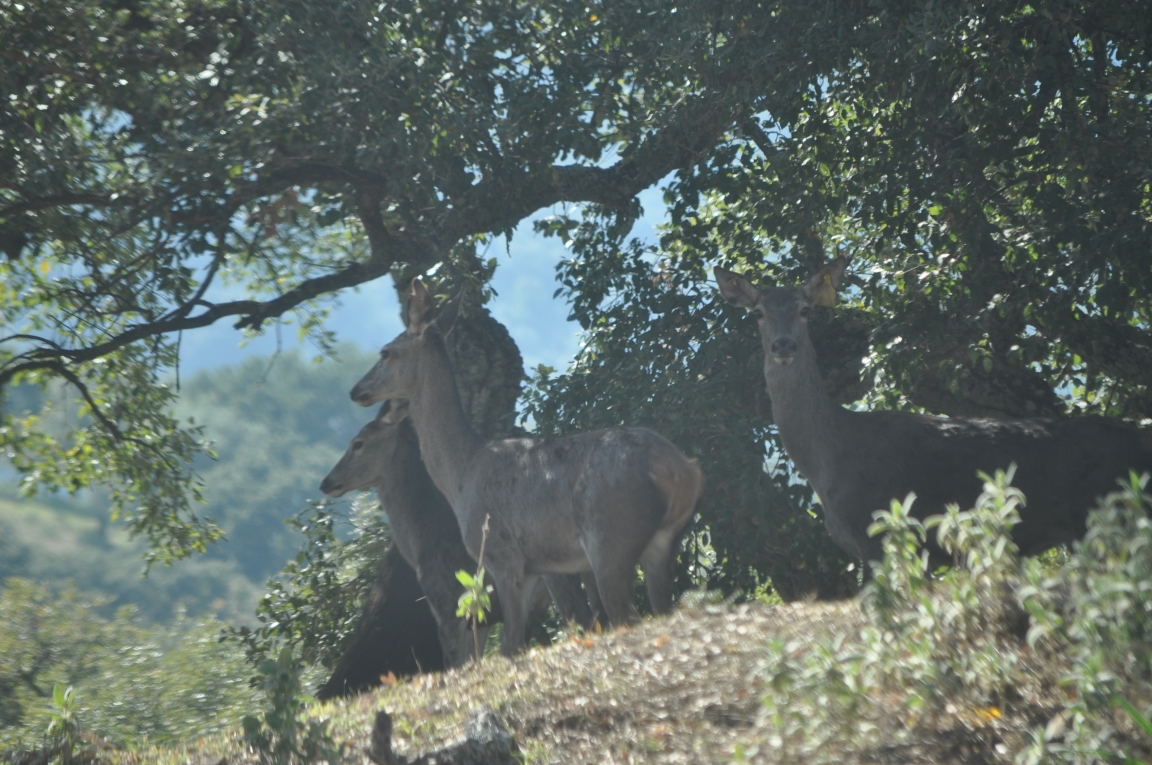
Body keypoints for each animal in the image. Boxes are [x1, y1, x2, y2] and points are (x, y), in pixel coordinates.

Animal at [320, 396, 599, 668]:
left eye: (358, 443)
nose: (327, 482)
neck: (422, 539)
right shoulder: (482, 616)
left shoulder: (449, 604)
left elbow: (455, 664)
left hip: (555, 574)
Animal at [345, 281, 700, 659]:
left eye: (386, 352)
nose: (357, 390)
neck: (461, 473)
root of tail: (680, 471)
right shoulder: (532, 567)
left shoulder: (502, 556)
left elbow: (510, 647)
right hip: (665, 541)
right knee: (661, 609)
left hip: (609, 539)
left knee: (626, 616)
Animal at [714, 256, 1147, 566]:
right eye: (758, 312)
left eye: (805, 309)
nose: (783, 346)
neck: (828, 459)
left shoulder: (882, 531)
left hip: (1103, 519)